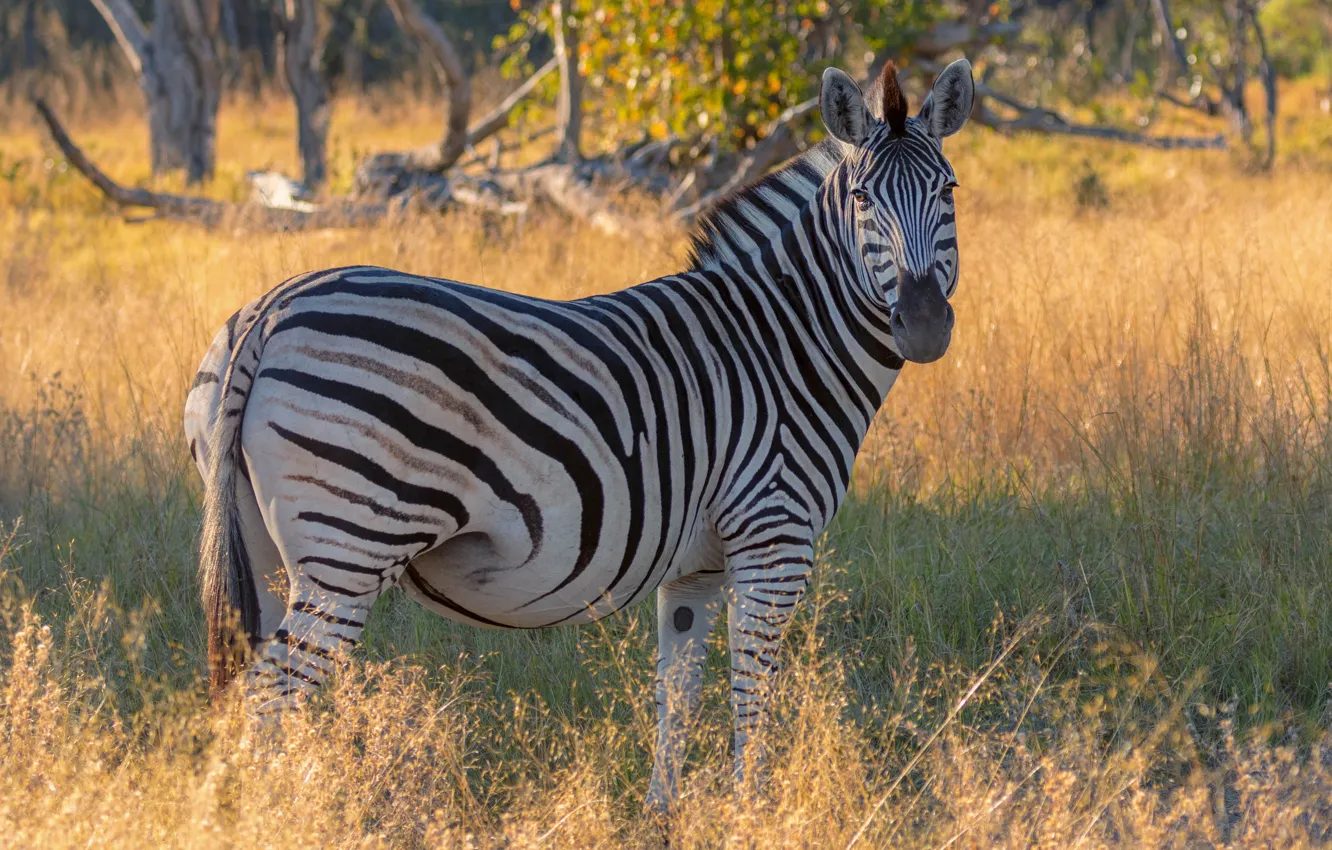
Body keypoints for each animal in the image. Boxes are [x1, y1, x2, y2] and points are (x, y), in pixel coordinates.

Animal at [185, 58, 974, 810]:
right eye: (862, 200)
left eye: (950, 191)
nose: (925, 325)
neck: (780, 343)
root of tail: (270, 311)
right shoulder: (774, 543)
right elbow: (752, 696)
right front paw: (754, 810)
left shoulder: (697, 567)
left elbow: (676, 695)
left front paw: (664, 816)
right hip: (349, 547)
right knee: (268, 699)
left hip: (265, 548)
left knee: (242, 699)